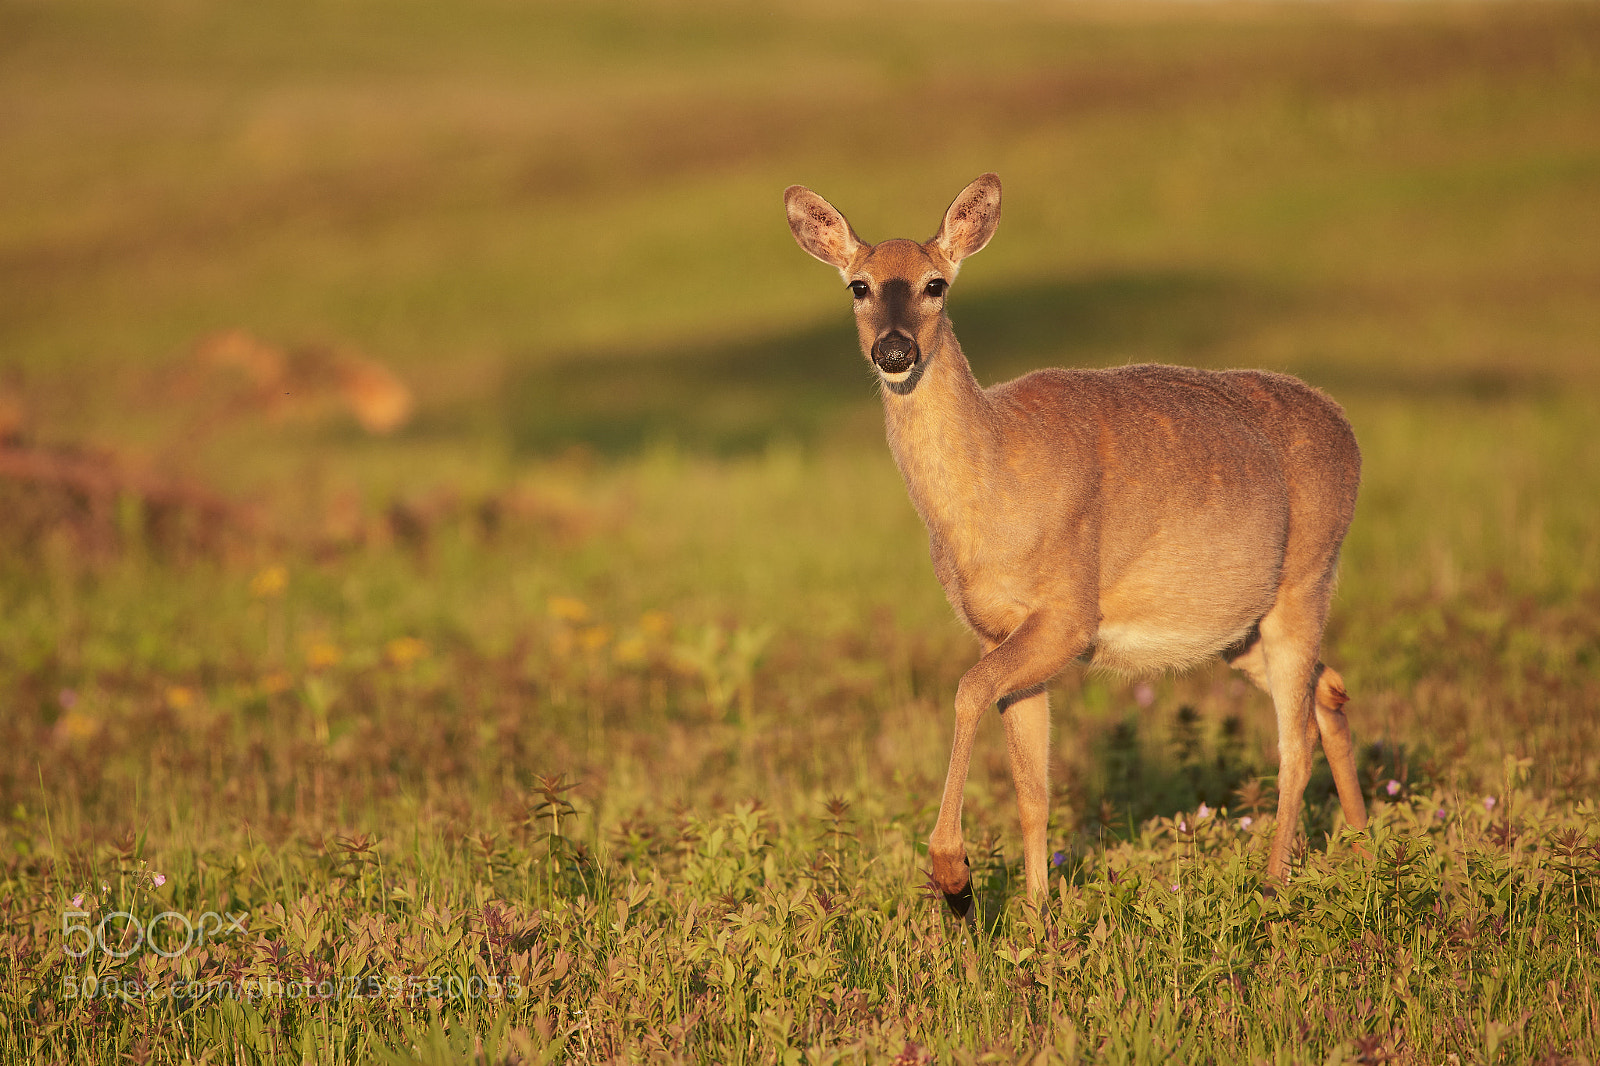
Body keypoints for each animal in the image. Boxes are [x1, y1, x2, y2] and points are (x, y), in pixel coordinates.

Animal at [784, 174, 1368, 916]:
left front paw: (955, 876)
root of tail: (1348, 430)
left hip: (1307, 577)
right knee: (1331, 691)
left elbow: (968, 691)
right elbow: (1033, 787)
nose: (895, 352)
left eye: (935, 283)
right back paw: (1364, 848)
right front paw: (1035, 914)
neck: (992, 489)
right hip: (1240, 630)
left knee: (1294, 740)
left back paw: (1274, 883)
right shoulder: (997, 629)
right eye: (857, 285)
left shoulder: (1067, 614)